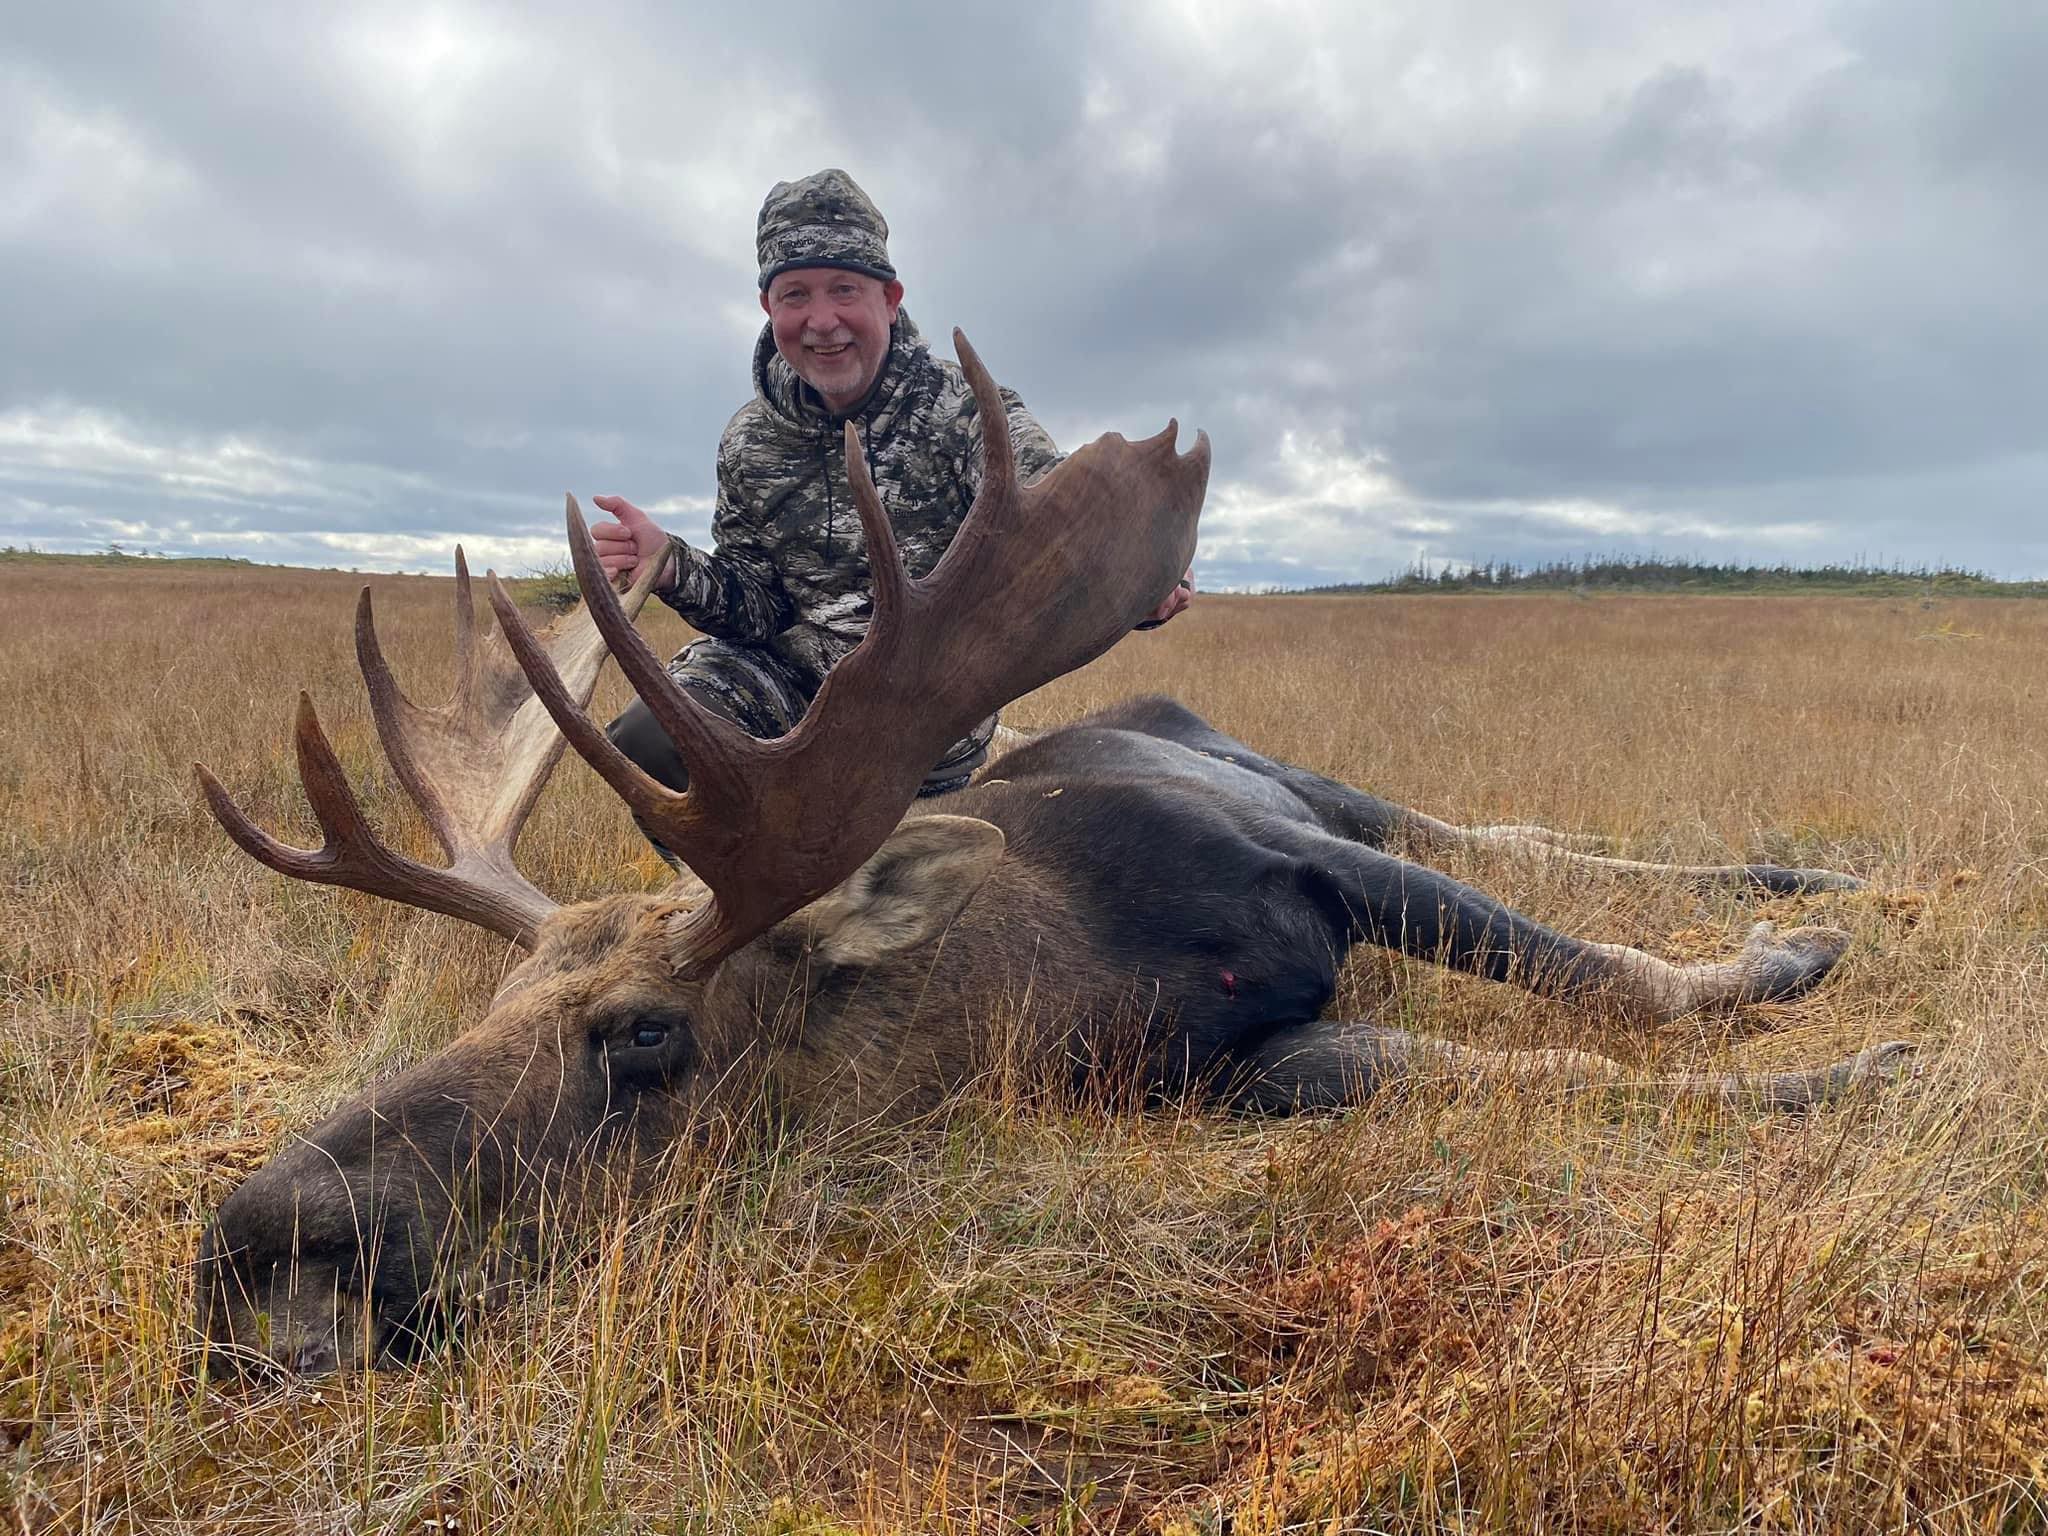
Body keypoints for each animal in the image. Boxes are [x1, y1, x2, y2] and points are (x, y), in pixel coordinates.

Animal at [192, 333, 1911, 1376]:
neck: (1065, 976)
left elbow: (1608, 978)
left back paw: (1818, 884)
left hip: (1294, 779)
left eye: (647, 1037)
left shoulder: (1280, 855)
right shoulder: (1219, 1070)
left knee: (1492, 833)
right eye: (484, 1009)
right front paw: (1818, 1054)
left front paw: (1822, 1005)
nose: (268, 1236)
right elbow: (1458, 1060)